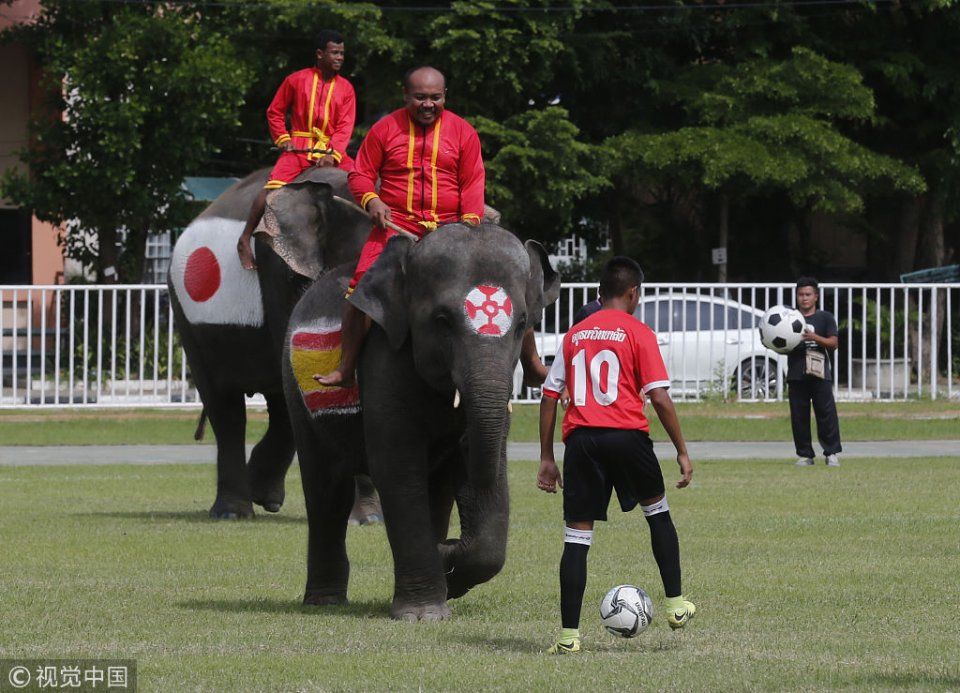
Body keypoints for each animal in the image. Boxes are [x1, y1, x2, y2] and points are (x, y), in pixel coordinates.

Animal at [169, 165, 378, 516]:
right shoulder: (278, 271)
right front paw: (366, 517)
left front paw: (368, 516)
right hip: (189, 320)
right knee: (225, 409)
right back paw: (233, 512)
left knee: (281, 405)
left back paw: (265, 496)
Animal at [282, 224, 560, 620]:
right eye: (442, 321)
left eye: (523, 324)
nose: (452, 545)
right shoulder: (384, 362)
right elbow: (397, 469)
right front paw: (423, 613)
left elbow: (478, 469)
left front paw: (447, 562)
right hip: (296, 393)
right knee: (325, 490)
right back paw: (325, 601)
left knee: (435, 492)